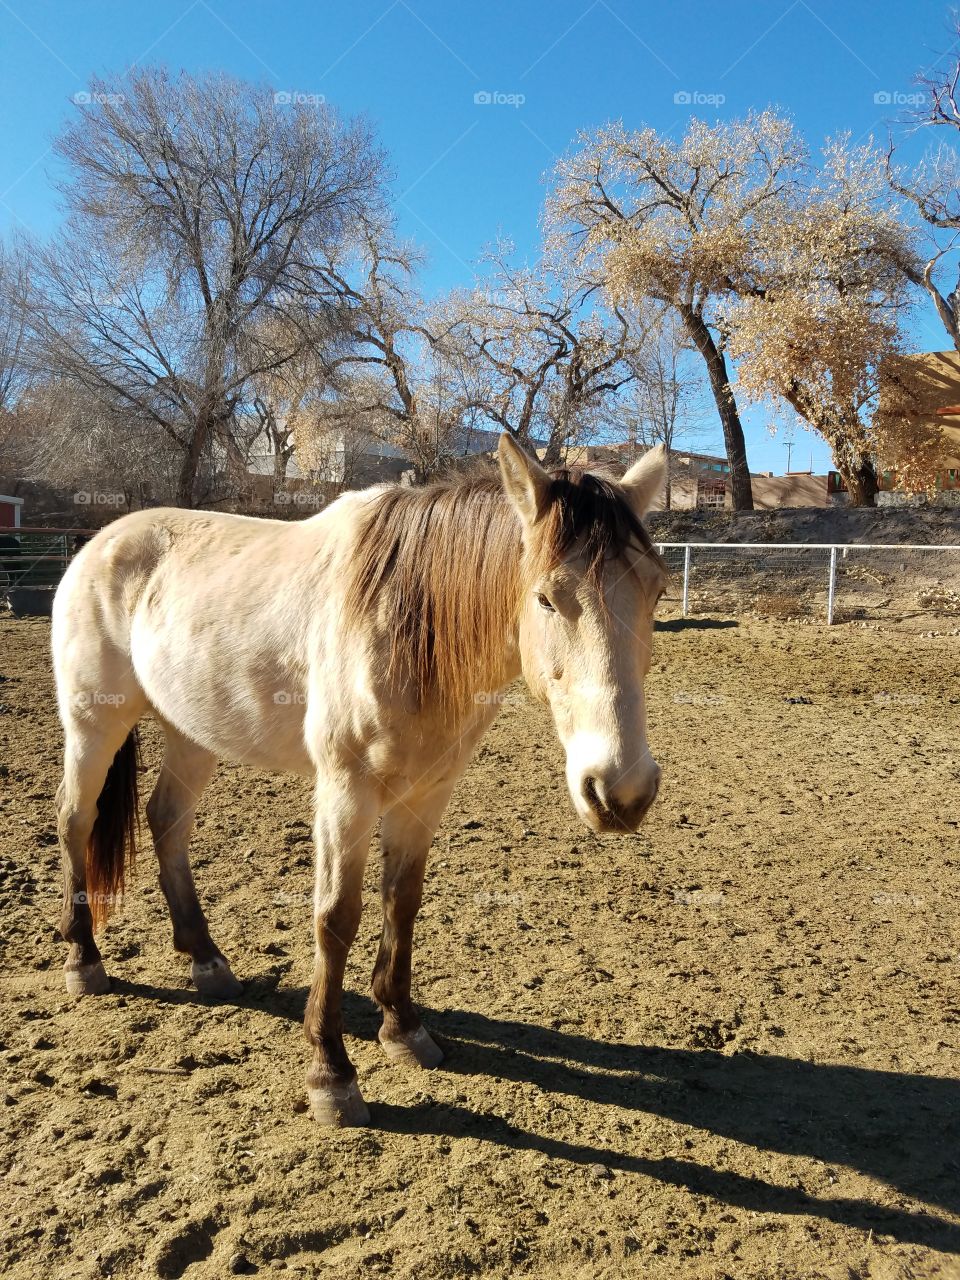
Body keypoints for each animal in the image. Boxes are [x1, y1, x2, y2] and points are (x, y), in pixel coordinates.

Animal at [50, 435, 670, 1126]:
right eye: (544, 597)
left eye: (656, 591)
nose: (620, 792)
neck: (403, 621)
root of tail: (103, 540)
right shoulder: (345, 793)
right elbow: (335, 917)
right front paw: (332, 1074)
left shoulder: (426, 794)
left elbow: (403, 901)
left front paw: (403, 1028)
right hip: (94, 723)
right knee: (75, 819)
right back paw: (84, 961)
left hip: (192, 733)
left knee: (166, 821)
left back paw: (206, 960)